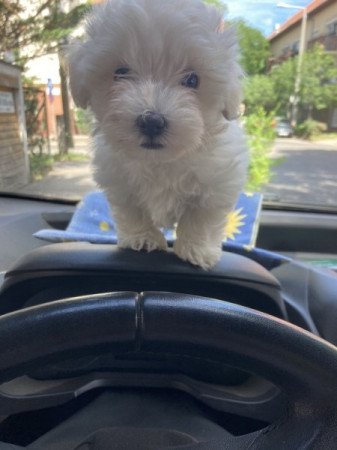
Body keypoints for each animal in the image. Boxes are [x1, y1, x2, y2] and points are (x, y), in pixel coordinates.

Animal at [68, 0, 247, 268]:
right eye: (120, 72)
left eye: (193, 79)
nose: (151, 121)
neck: (160, 161)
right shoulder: (121, 184)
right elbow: (134, 211)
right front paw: (142, 239)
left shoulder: (217, 183)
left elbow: (201, 217)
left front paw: (197, 250)